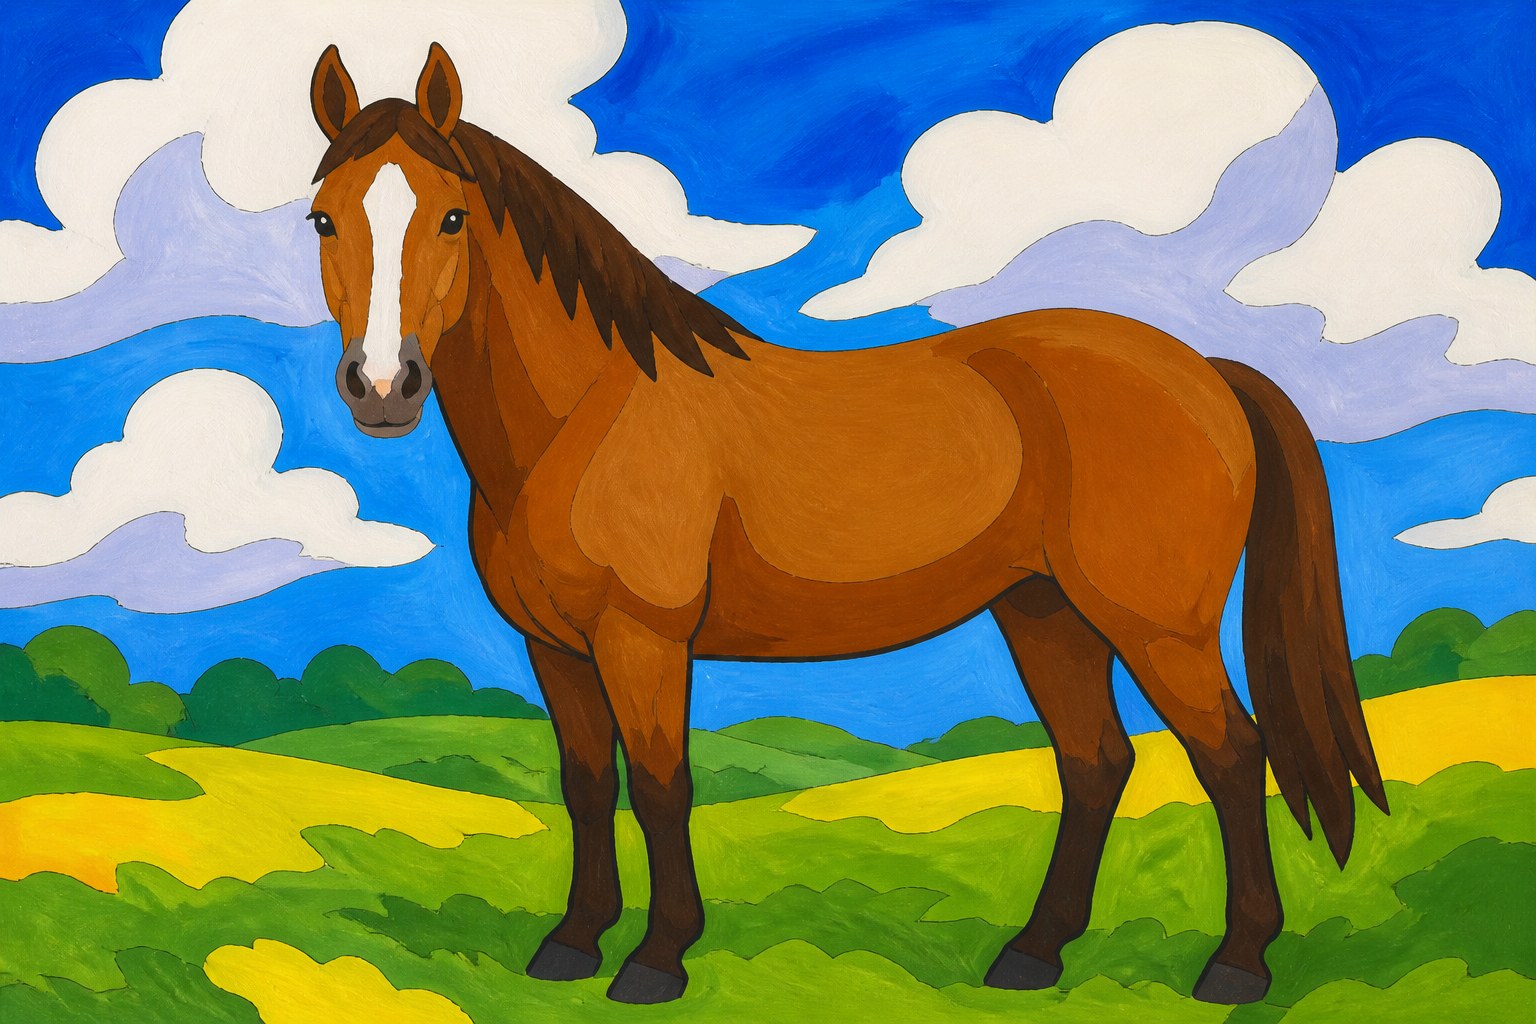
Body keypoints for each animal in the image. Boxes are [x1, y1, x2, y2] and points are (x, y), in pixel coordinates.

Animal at [305, 43, 1388, 1006]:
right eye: (322, 218)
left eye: (452, 216)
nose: (382, 386)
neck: (588, 413)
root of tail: (1209, 371)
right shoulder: (558, 648)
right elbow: (582, 783)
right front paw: (572, 944)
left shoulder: (642, 639)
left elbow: (658, 783)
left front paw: (657, 959)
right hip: (1044, 614)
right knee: (1095, 764)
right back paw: (1032, 954)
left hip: (1158, 627)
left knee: (1232, 757)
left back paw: (1236, 966)